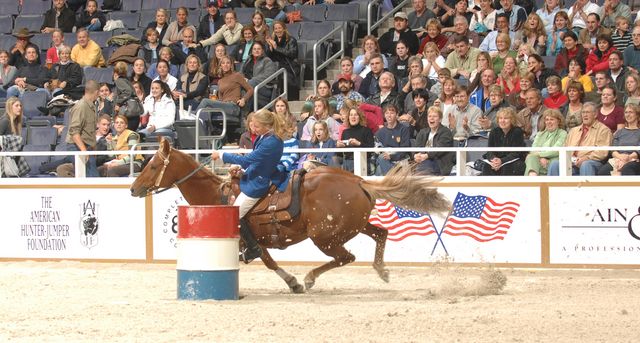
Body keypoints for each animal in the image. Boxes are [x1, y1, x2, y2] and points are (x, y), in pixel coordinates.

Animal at [130, 138, 450, 294]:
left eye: (153, 165)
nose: (133, 188)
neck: (216, 196)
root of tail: (358, 180)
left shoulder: (247, 236)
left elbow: (269, 263)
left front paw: (295, 281)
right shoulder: (256, 242)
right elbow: (269, 261)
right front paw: (291, 282)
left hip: (325, 237)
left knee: (346, 257)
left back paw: (310, 278)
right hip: (353, 226)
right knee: (381, 233)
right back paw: (381, 270)